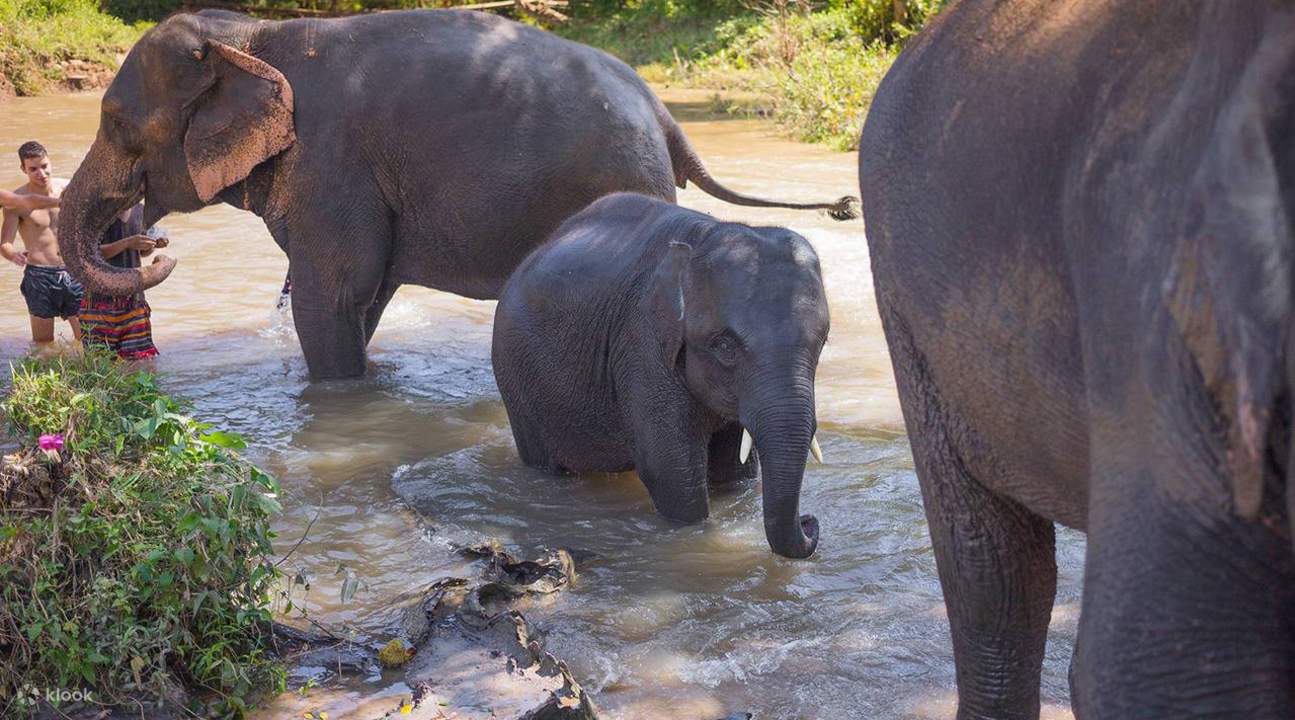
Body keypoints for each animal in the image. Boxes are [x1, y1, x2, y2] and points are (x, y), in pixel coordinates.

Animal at [58, 9, 857, 380]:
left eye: (117, 123)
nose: (152, 243)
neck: (253, 35)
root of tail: (664, 114)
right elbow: (365, 294)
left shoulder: (332, 164)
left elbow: (330, 293)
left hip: (623, 177)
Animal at [491, 193, 828, 559]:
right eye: (724, 346)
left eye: (822, 342)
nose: (810, 521)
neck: (703, 240)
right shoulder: (644, 345)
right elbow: (670, 473)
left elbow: (735, 471)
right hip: (516, 376)